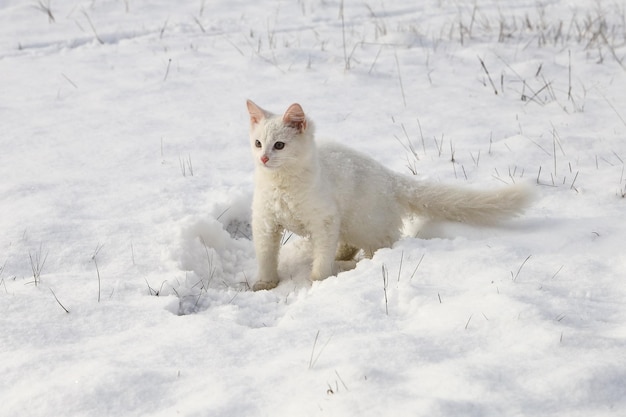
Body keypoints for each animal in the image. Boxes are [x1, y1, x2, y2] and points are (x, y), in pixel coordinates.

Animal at [246, 100, 528, 290]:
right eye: (258, 143)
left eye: (279, 145)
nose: (263, 158)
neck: (282, 187)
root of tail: (390, 177)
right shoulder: (264, 221)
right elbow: (266, 256)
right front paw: (265, 283)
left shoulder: (324, 219)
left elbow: (321, 259)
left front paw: (318, 281)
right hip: (352, 224)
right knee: (349, 244)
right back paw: (342, 258)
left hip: (366, 224)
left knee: (377, 244)